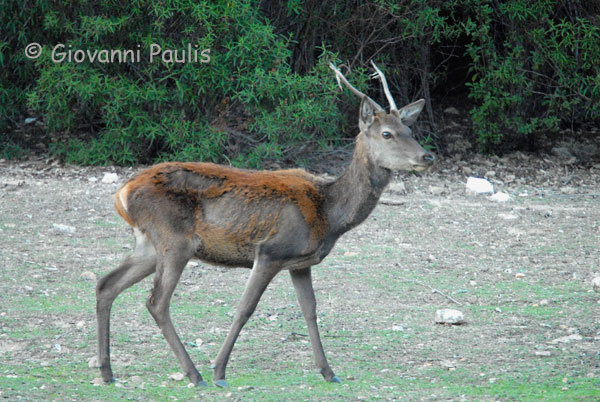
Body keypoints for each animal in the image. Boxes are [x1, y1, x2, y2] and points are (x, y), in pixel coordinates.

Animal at [94, 61, 434, 388]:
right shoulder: (270, 251)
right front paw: (219, 371)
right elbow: (245, 308)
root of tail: (121, 194)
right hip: (174, 240)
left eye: (408, 128)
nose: (427, 157)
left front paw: (328, 372)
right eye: (387, 133)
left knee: (106, 284)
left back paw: (108, 372)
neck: (328, 213)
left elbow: (310, 310)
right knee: (157, 301)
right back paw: (195, 374)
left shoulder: (300, 262)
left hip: (149, 244)